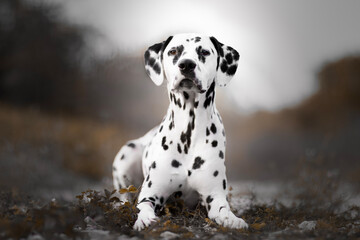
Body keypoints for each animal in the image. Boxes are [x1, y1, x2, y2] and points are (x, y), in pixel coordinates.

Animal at [112, 32, 248, 230]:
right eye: (173, 51)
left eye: (204, 52)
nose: (187, 64)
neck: (189, 131)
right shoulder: (150, 194)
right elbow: (143, 207)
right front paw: (144, 220)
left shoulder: (214, 196)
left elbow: (223, 210)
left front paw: (233, 219)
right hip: (127, 154)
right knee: (124, 195)